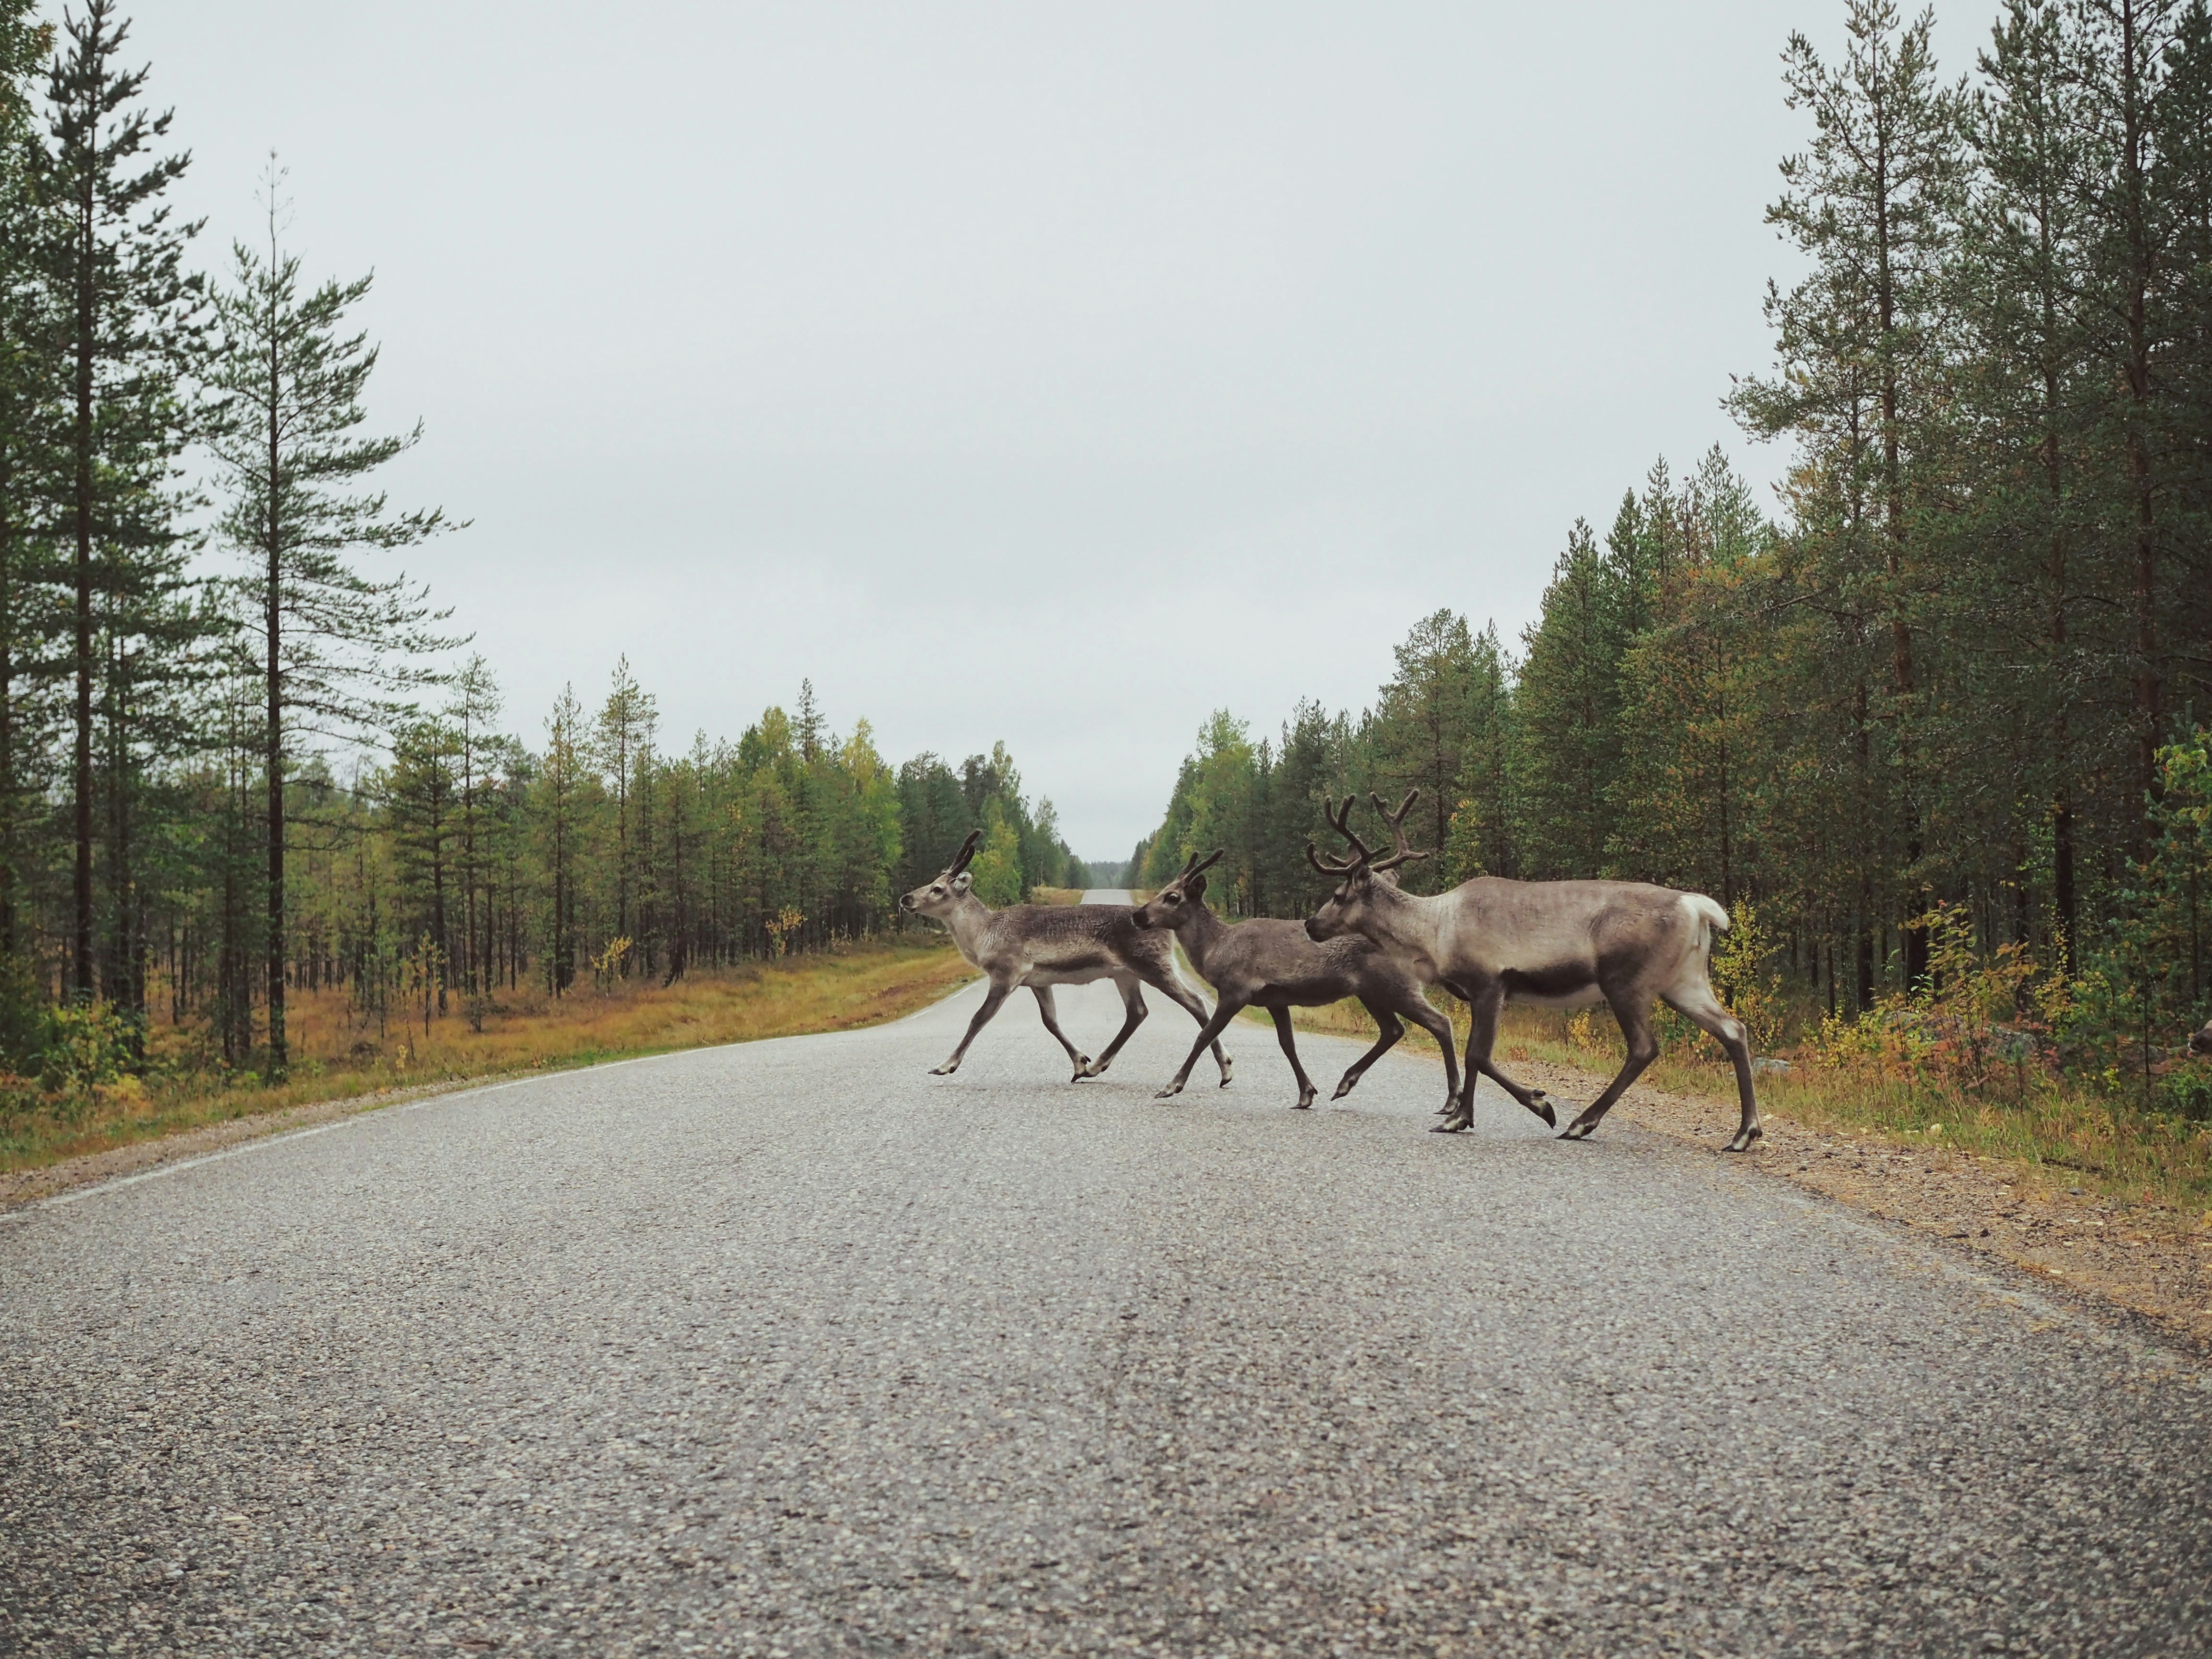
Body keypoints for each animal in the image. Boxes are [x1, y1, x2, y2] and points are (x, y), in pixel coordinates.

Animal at [898, 830, 1233, 1087]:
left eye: (938, 889)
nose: (906, 898)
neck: (983, 935)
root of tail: (1167, 932)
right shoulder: (1037, 981)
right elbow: (1051, 1022)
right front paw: (1081, 1062)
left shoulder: (1006, 973)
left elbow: (979, 1018)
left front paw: (945, 1065)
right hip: (1125, 974)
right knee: (1138, 1012)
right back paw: (1098, 1066)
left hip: (1153, 965)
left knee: (1195, 1002)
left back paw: (1227, 1069)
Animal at [1130, 847, 1461, 1111]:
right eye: (1162, 891)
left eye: (1172, 897)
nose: (1138, 916)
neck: (1216, 948)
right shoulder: (1275, 999)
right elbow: (1287, 1044)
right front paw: (1307, 1093)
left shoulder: (1236, 991)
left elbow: (1204, 1035)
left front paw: (1171, 1087)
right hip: (1371, 992)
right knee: (1394, 1030)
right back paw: (1345, 1084)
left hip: (1395, 986)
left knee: (1440, 1022)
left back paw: (1452, 1100)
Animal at [1303, 791, 1762, 1151]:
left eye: (1339, 895)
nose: (1310, 924)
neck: (1434, 932)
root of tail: (1698, 908)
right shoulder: (1483, 992)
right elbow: (1474, 1055)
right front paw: (1463, 1117)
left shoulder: (1490, 983)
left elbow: (1479, 1054)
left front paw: (1534, 1106)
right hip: (1684, 981)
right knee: (1733, 1029)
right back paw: (1744, 1133)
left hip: (1626, 981)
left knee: (1644, 1047)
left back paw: (1581, 1124)